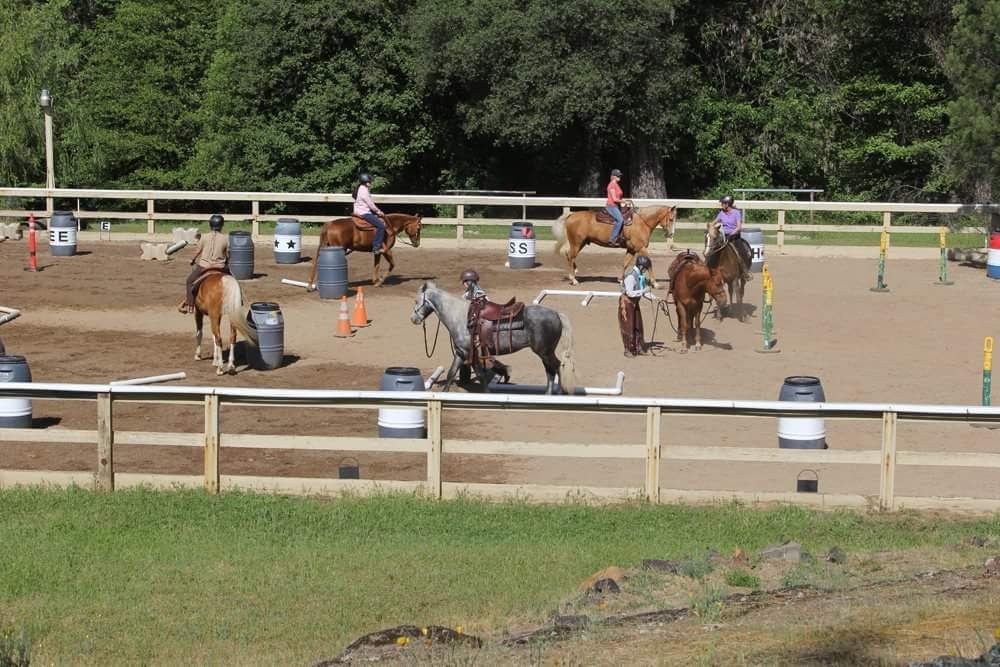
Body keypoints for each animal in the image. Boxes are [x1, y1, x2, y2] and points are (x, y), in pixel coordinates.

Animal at [408, 280, 580, 394]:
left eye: (417, 301)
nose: (413, 319)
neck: (460, 316)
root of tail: (556, 314)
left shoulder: (470, 353)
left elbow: (480, 374)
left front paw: (487, 394)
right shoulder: (461, 352)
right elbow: (452, 373)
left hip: (545, 352)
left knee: (556, 367)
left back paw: (557, 394)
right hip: (544, 353)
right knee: (551, 369)